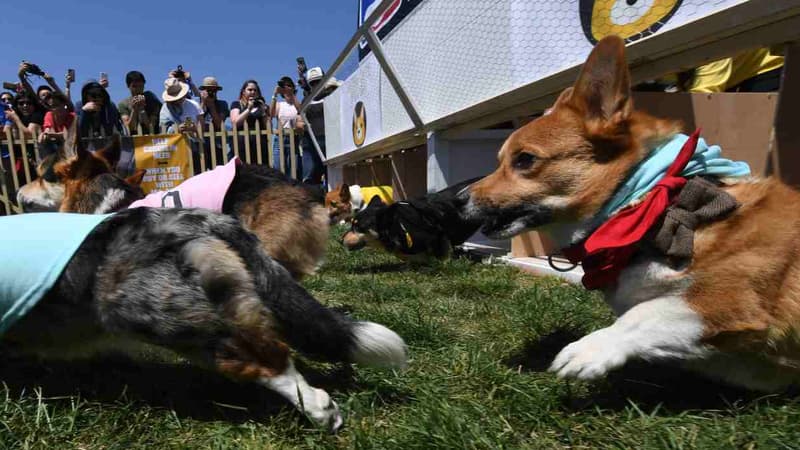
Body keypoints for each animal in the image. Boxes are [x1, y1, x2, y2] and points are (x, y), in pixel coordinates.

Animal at [466, 35, 800, 392]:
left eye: (524, 159)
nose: (457, 200)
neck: (650, 210)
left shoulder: (730, 298)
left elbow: (648, 312)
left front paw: (589, 349)